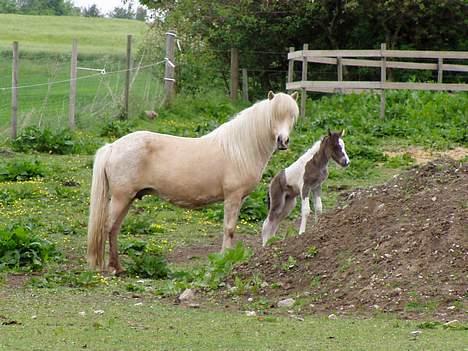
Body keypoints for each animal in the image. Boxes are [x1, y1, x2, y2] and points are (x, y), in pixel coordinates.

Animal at [88, 91, 300, 272]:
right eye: (274, 115)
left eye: (292, 116)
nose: (283, 141)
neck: (239, 149)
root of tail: (113, 146)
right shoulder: (232, 197)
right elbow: (229, 229)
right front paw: (225, 258)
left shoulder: (240, 199)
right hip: (121, 198)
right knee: (107, 227)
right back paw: (109, 267)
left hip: (127, 199)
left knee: (114, 229)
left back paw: (117, 267)